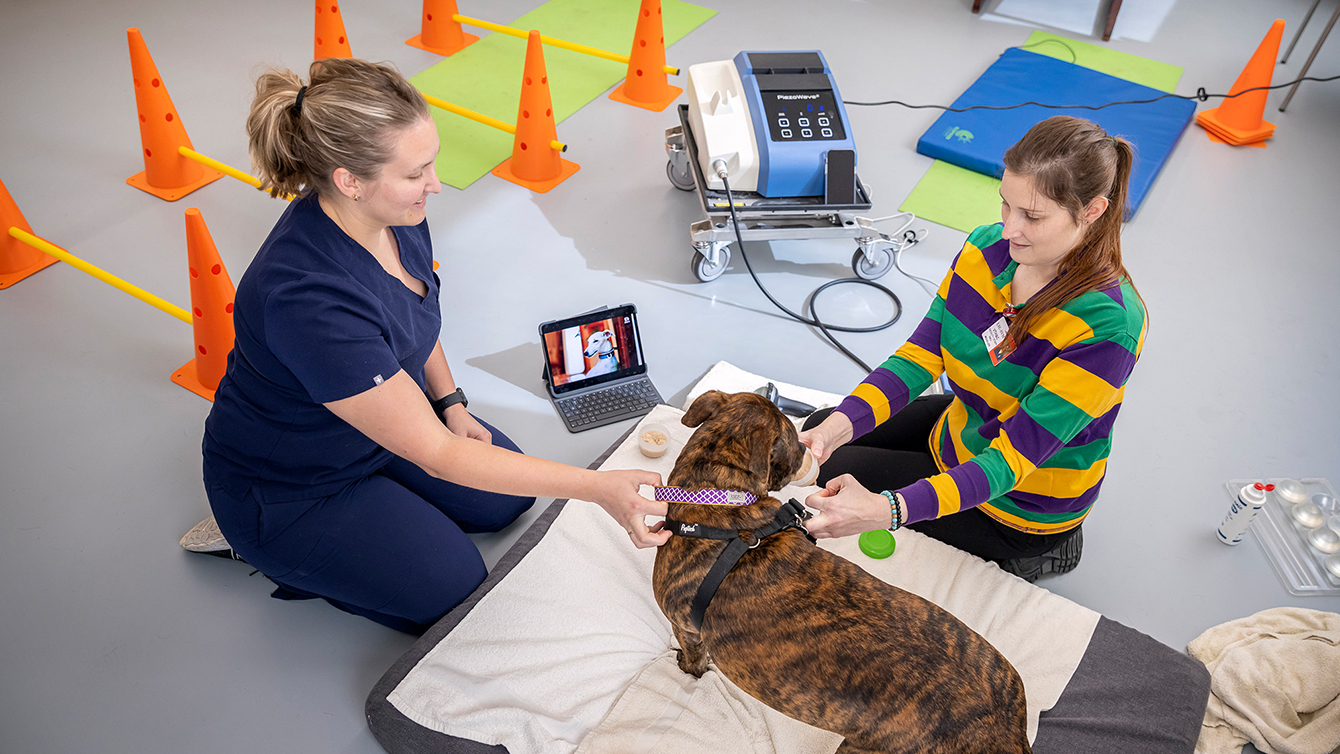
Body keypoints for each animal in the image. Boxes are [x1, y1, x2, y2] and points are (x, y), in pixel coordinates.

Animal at [653, 393, 1029, 749]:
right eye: (794, 439)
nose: (808, 451)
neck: (718, 493)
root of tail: (1006, 729)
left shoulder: (684, 626)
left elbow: (695, 657)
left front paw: (688, 669)